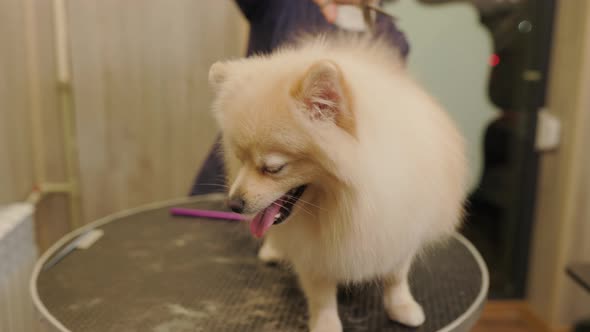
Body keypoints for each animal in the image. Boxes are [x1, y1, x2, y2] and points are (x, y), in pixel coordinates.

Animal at [209, 33, 472, 332]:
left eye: (274, 168)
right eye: (240, 159)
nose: (233, 204)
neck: (341, 206)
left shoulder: (401, 226)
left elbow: (396, 275)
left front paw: (402, 306)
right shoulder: (313, 250)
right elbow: (321, 292)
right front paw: (326, 322)